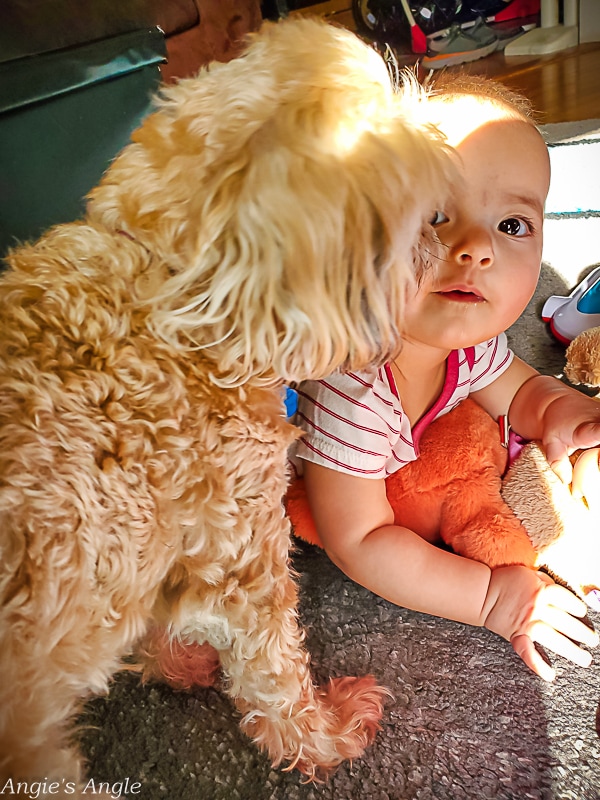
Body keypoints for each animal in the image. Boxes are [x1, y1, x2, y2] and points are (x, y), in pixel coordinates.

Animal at [0, 15, 452, 792]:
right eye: (409, 212)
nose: (442, 230)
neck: (172, 292)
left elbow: (160, 611)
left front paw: (170, 661)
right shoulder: (245, 553)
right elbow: (274, 675)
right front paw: (324, 737)